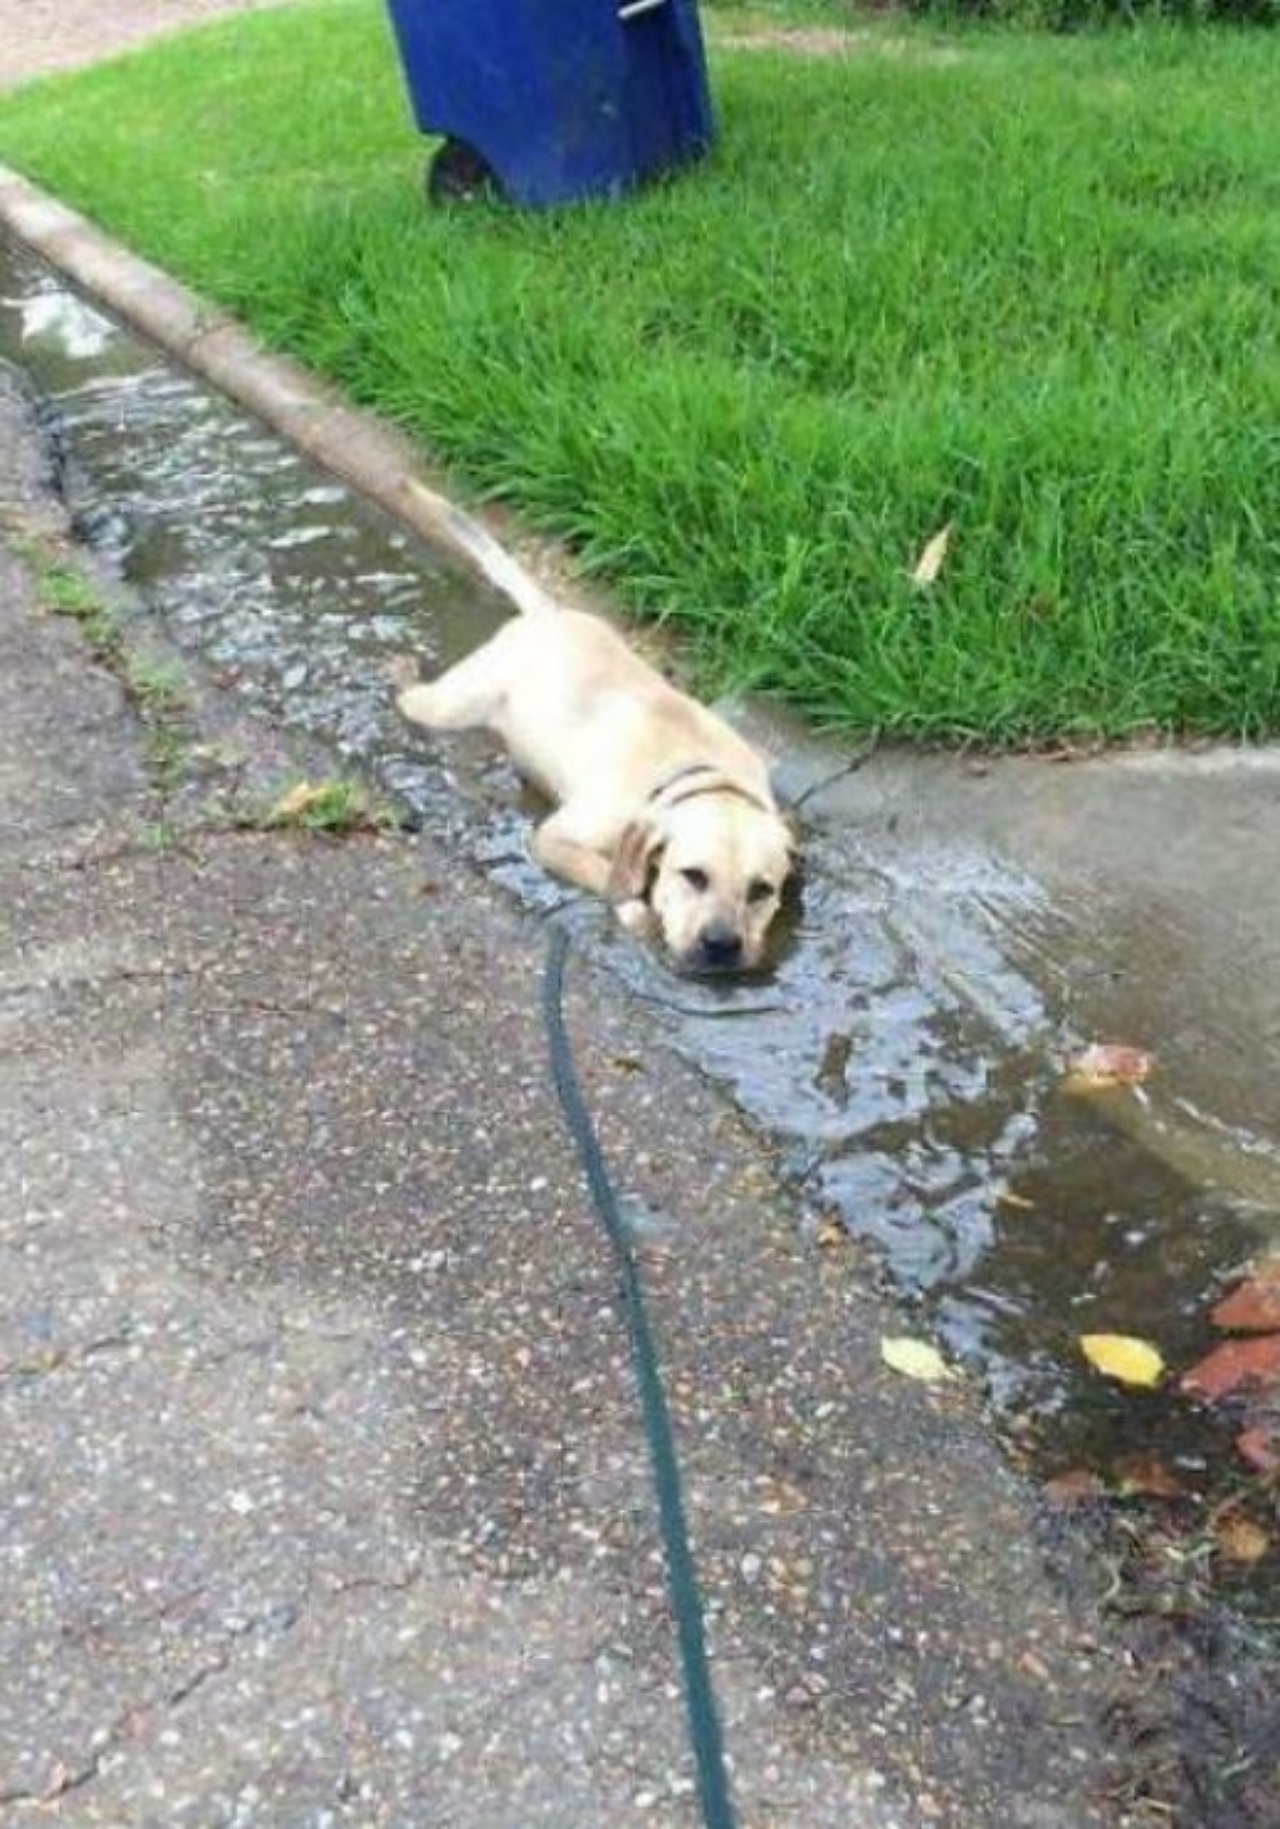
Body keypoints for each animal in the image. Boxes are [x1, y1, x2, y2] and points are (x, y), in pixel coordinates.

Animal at [404, 603, 793, 980]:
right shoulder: (553, 838)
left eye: (762, 890)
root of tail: (547, 611)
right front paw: (634, 907)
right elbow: (605, 873)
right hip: (449, 705)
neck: (702, 775)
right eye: (693, 876)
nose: (722, 944)